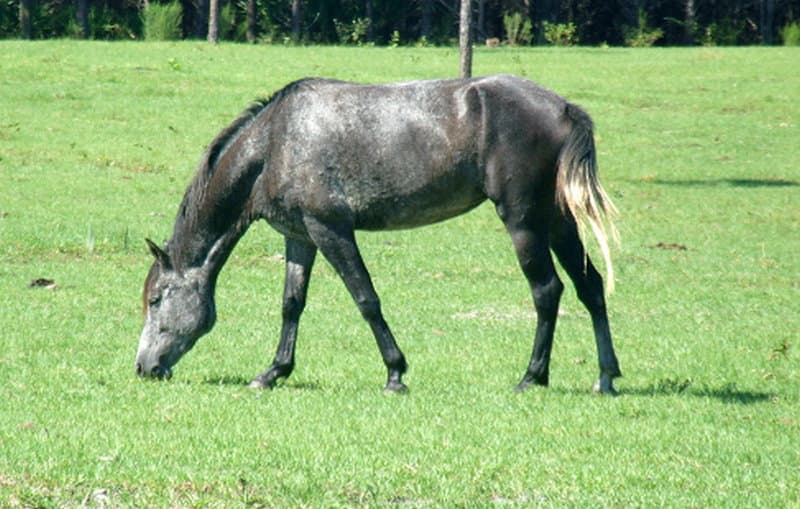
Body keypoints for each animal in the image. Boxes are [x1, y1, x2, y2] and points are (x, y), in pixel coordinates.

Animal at [135, 74, 622, 394]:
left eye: (156, 300)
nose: (144, 367)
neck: (275, 143)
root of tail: (563, 108)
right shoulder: (300, 237)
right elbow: (292, 305)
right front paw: (273, 372)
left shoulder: (330, 230)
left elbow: (366, 299)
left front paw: (395, 373)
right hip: (555, 219)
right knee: (589, 287)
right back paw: (606, 376)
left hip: (523, 221)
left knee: (547, 290)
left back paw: (532, 376)